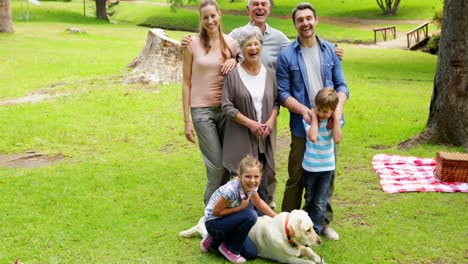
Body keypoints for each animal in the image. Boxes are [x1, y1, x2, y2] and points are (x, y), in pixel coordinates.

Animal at [177, 209, 324, 262]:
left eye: (313, 227)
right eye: (308, 230)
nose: (320, 241)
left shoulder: (301, 248)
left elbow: (309, 251)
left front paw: (319, 258)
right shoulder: (288, 259)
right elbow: (307, 262)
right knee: (200, 227)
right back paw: (186, 233)